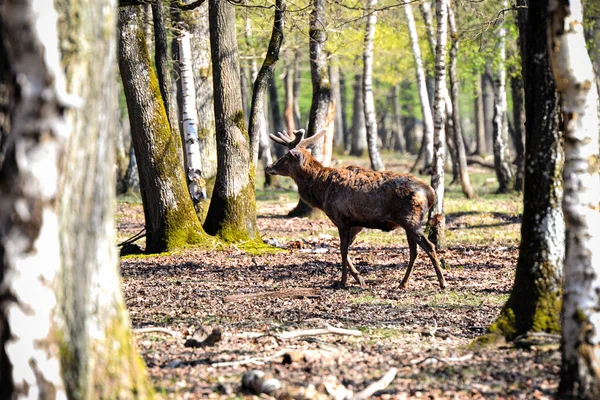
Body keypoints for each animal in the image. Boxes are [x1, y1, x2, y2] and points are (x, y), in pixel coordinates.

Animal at [266, 128, 446, 290]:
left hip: (410, 219)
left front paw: (343, 281)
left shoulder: (341, 217)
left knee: (429, 246)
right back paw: (403, 283)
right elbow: (346, 249)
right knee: (414, 251)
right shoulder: (356, 223)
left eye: (286, 157)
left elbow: (342, 249)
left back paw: (442, 282)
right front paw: (359, 279)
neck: (322, 192)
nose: (268, 166)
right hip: (409, 222)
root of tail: (430, 193)